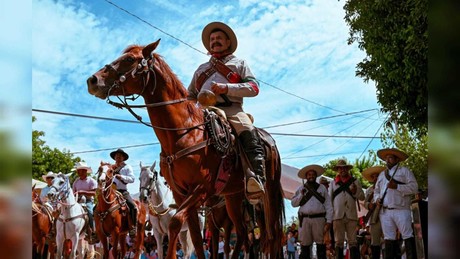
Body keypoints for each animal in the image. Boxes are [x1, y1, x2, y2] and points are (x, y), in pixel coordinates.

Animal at [87, 39, 284, 258]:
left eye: (130, 59)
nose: (93, 80)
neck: (183, 133)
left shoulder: (201, 189)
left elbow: (175, 223)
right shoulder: (181, 193)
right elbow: (196, 239)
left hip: (269, 193)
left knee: (271, 235)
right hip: (233, 195)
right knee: (242, 233)